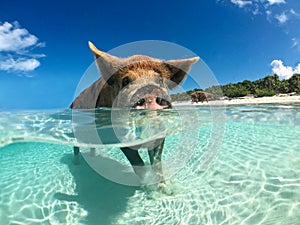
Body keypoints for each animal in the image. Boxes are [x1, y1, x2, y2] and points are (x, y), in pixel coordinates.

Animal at [71, 41, 199, 189]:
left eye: (160, 80)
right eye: (126, 81)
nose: (149, 92)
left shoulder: (160, 133)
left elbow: (157, 162)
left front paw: (165, 189)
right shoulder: (120, 135)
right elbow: (137, 162)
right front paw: (147, 187)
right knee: (76, 147)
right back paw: (76, 163)